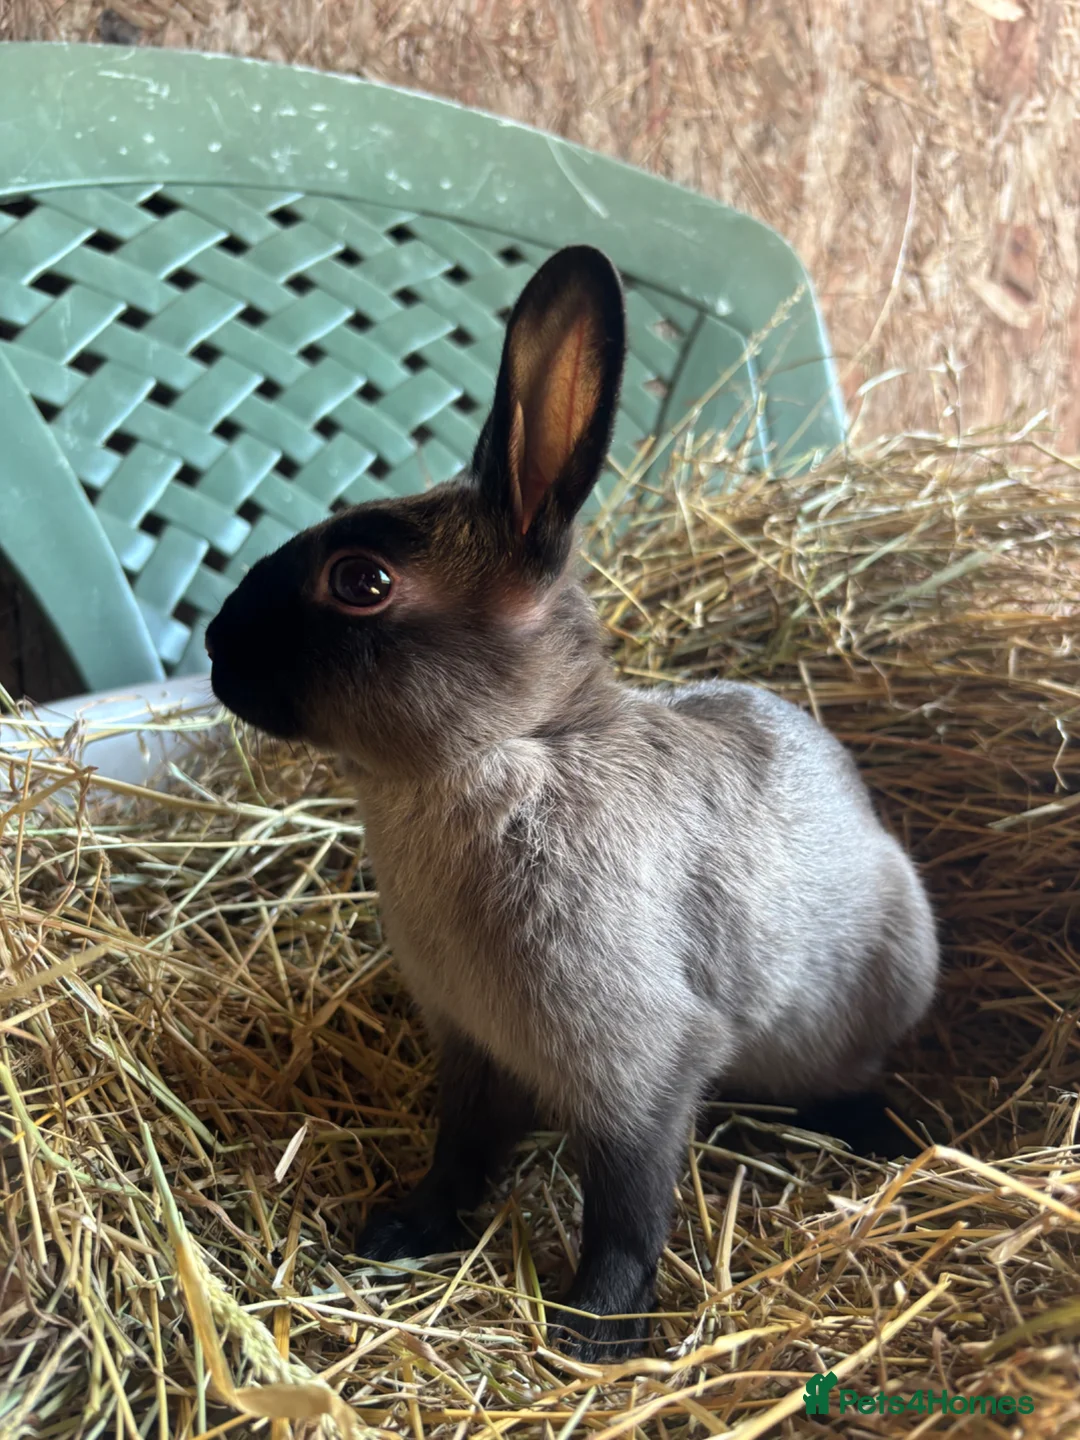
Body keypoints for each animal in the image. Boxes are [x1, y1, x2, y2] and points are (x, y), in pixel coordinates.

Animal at [206, 245, 940, 1364]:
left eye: (362, 581)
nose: (213, 648)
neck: (509, 752)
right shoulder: (470, 1051)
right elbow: (460, 1153)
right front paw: (401, 1232)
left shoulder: (641, 1070)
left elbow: (625, 1212)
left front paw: (592, 1332)